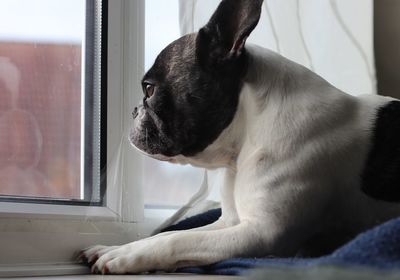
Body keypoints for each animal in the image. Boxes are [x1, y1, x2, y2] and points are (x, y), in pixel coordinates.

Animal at [81, 0, 400, 274]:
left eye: (149, 89)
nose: (134, 110)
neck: (248, 133)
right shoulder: (229, 222)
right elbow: (174, 234)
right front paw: (117, 247)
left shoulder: (261, 232)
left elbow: (174, 240)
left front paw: (124, 256)